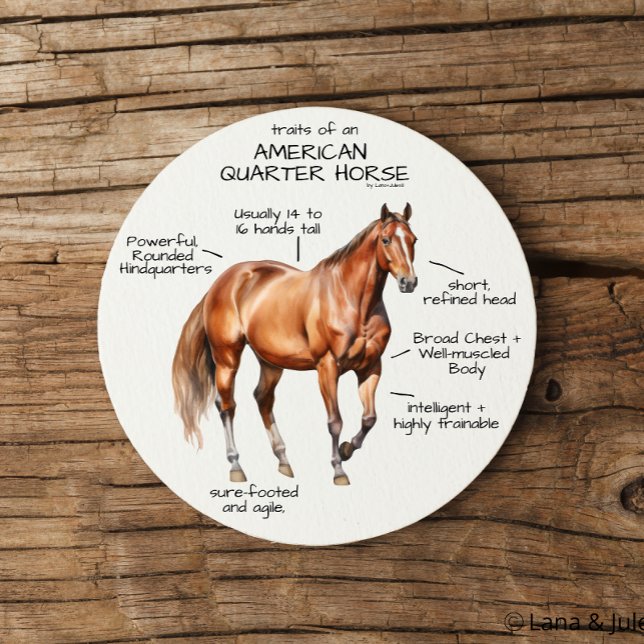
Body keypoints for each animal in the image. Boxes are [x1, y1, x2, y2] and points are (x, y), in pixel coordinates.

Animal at [172, 203, 417, 485]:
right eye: (386, 240)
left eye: (413, 240)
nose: (409, 282)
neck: (351, 301)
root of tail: (220, 284)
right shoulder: (327, 367)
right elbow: (335, 421)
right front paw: (338, 470)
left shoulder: (371, 367)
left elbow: (369, 418)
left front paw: (346, 450)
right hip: (227, 358)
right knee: (227, 405)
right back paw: (236, 466)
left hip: (270, 361)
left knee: (263, 399)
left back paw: (283, 461)